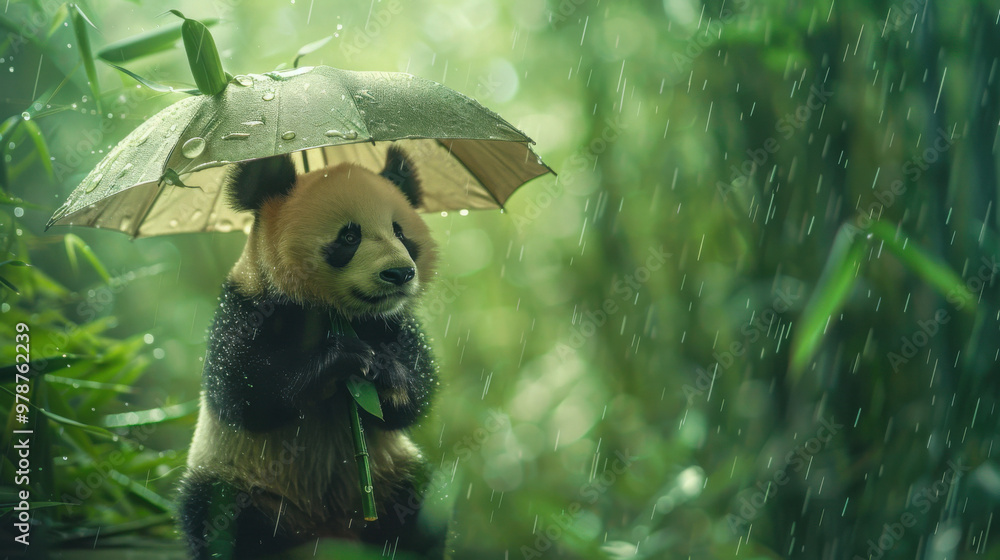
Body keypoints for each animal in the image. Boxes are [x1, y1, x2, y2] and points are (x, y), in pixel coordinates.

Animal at [177, 146, 447, 559]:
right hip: (241, 479)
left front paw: (387, 371)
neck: (332, 313)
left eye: (400, 232)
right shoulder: (246, 304)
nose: (400, 274)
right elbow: (241, 391)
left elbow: (416, 395)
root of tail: (327, 530)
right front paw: (338, 361)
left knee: (419, 514)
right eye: (349, 236)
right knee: (224, 522)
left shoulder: (392, 322)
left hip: (391, 476)